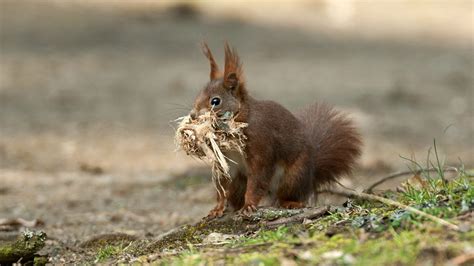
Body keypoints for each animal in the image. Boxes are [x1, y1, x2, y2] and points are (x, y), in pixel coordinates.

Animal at [191, 42, 362, 218]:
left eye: (215, 101)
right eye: (197, 96)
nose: (193, 115)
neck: (240, 120)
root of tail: (311, 175)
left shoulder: (261, 146)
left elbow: (258, 179)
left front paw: (249, 205)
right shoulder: (225, 162)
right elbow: (222, 187)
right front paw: (218, 208)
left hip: (294, 175)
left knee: (284, 196)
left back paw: (290, 203)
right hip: (241, 181)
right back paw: (236, 207)